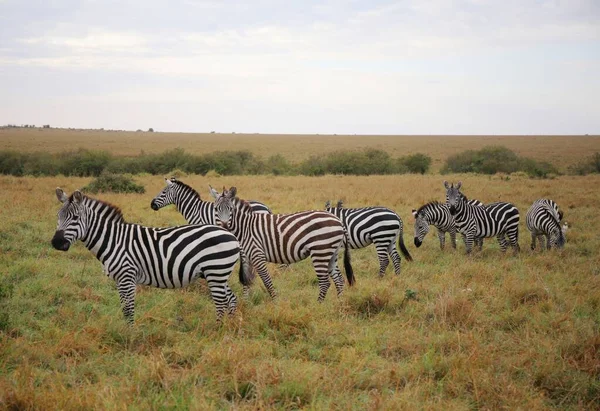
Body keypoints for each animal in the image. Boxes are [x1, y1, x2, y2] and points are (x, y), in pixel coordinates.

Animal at [51, 187, 244, 326]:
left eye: (75, 217)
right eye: (58, 216)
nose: (56, 243)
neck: (114, 240)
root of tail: (231, 234)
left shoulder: (127, 277)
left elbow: (128, 310)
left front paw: (130, 336)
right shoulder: (120, 280)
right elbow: (124, 308)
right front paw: (126, 332)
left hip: (216, 272)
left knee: (221, 302)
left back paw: (217, 329)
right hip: (218, 274)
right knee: (231, 299)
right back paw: (229, 326)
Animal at [211, 188, 354, 300]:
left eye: (230, 209)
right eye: (216, 209)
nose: (224, 226)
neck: (245, 227)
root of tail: (338, 220)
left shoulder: (257, 255)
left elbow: (266, 281)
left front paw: (275, 302)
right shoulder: (248, 257)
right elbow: (247, 281)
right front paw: (246, 303)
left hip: (320, 251)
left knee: (325, 283)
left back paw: (319, 305)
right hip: (331, 252)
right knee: (339, 280)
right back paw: (339, 303)